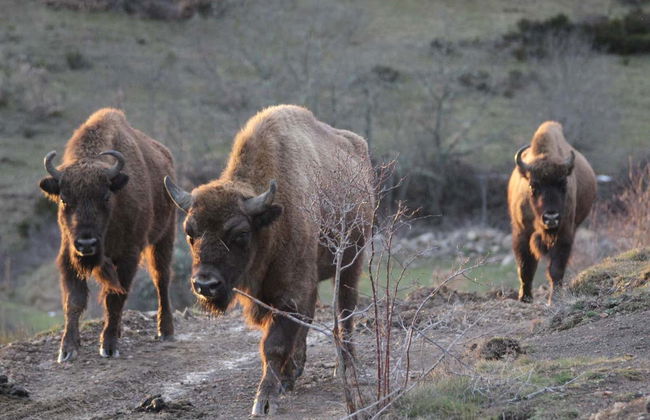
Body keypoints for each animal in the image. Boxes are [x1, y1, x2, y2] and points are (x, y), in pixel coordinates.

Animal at [39, 108, 177, 362]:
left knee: (161, 280)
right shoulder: (69, 255)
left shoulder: (129, 255)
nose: (86, 243)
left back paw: (165, 331)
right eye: (64, 200)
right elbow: (74, 300)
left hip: (164, 238)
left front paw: (109, 346)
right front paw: (67, 350)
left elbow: (114, 298)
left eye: (105, 197)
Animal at [164, 105, 374, 416]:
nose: (205, 285)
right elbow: (288, 332)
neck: (269, 222)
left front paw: (263, 401)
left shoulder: (291, 291)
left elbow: (273, 344)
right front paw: (283, 381)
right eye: (190, 232)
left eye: (240, 233)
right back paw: (295, 371)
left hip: (352, 261)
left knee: (345, 310)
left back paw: (345, 367)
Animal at [508, 121, 596, 304]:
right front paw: (525, 297)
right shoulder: (522, 233)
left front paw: (554, 298)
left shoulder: (564, 233)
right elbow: (525, 267)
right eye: (533, 185)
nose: (551, 217)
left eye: (563, 184)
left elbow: (556, 268)